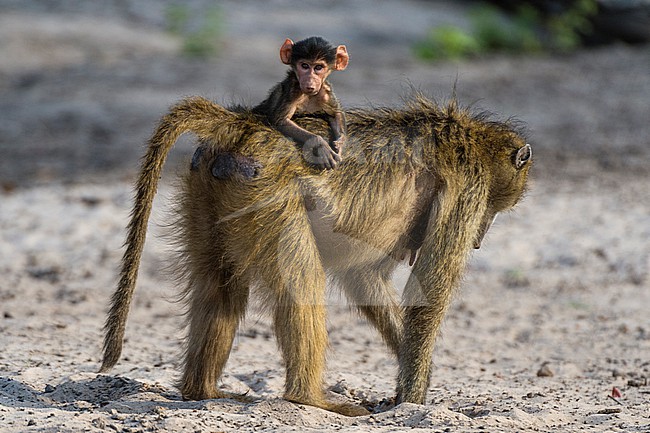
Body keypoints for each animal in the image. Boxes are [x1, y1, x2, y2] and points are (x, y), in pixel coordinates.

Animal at [100, 94, 532, 416]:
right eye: (493, 210)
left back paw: (202, 392)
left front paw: (409, 380)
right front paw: (413, 400)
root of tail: (244, 124)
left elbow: (366, 278)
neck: (473, 139)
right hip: (268, 194)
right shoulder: (469, 188)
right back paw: (309, 399)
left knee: (220, 288)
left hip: (210, 189)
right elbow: (430, 295)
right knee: (303, 284)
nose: (479, 240)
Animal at [252, 36, 349, 170]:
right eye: (304, 65)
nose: (310, 81)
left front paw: (340, 143)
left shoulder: (325, 93)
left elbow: (336, 114)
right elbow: (281, 120)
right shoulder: (292, 90)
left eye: (318, 67)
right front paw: (320, 145)